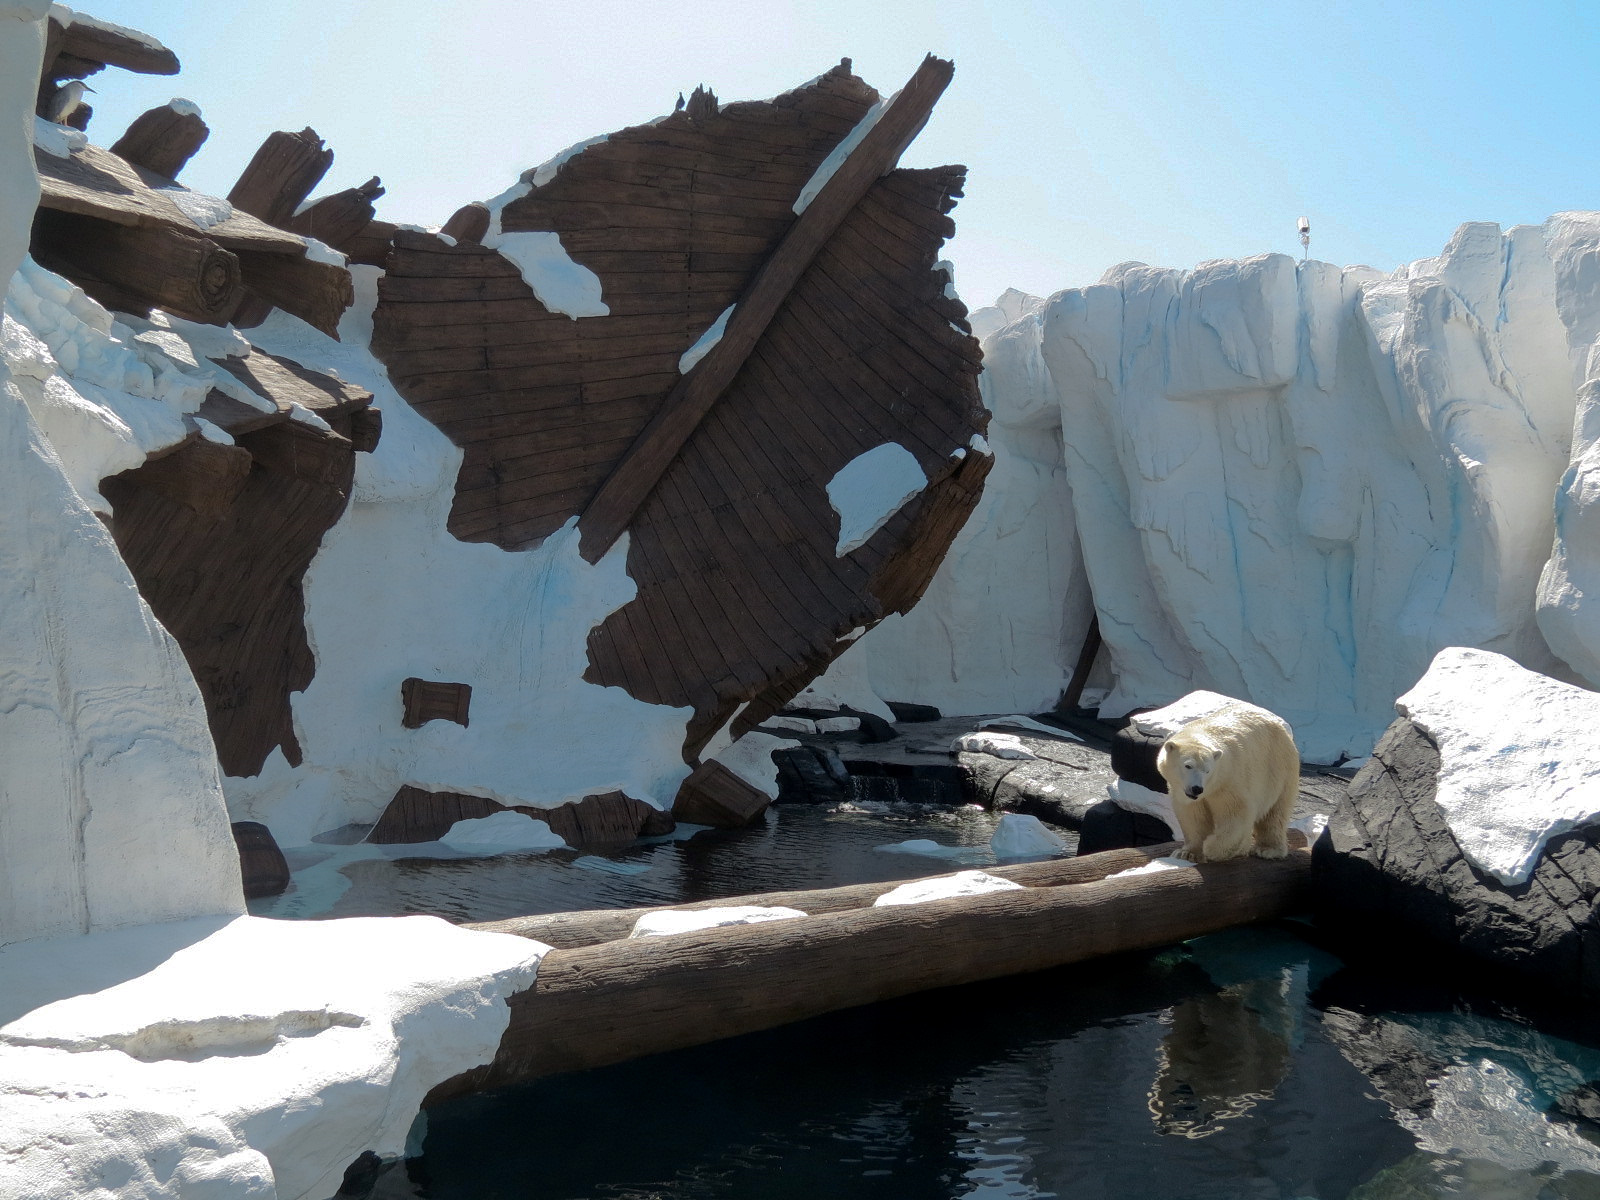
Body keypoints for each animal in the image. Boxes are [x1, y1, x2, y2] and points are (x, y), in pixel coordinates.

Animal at [1155, 700, 1299, 863]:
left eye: (1207, 770)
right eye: (1188, 765)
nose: (1197, 788)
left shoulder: (1228, 782)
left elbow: (1237, 813)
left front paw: (1211, 847)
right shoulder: (1186, 794)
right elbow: (1193, 817)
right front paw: (1187, 853)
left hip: (1279, 769)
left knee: (1275, 813)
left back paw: (1267, 849)